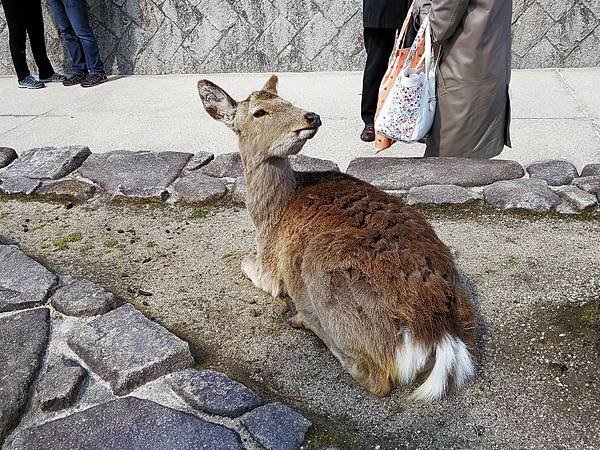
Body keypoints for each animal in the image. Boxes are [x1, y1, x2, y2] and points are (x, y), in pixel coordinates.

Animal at [197, 74, 478, 400]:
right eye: (259, 112)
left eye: (287, 102)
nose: (311, 116)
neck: (270, 217)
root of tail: (437, 332)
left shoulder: (269, 267)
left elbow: (245, 262)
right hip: (465, 309)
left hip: (322, 271)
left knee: (374, 378)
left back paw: (303, 319)